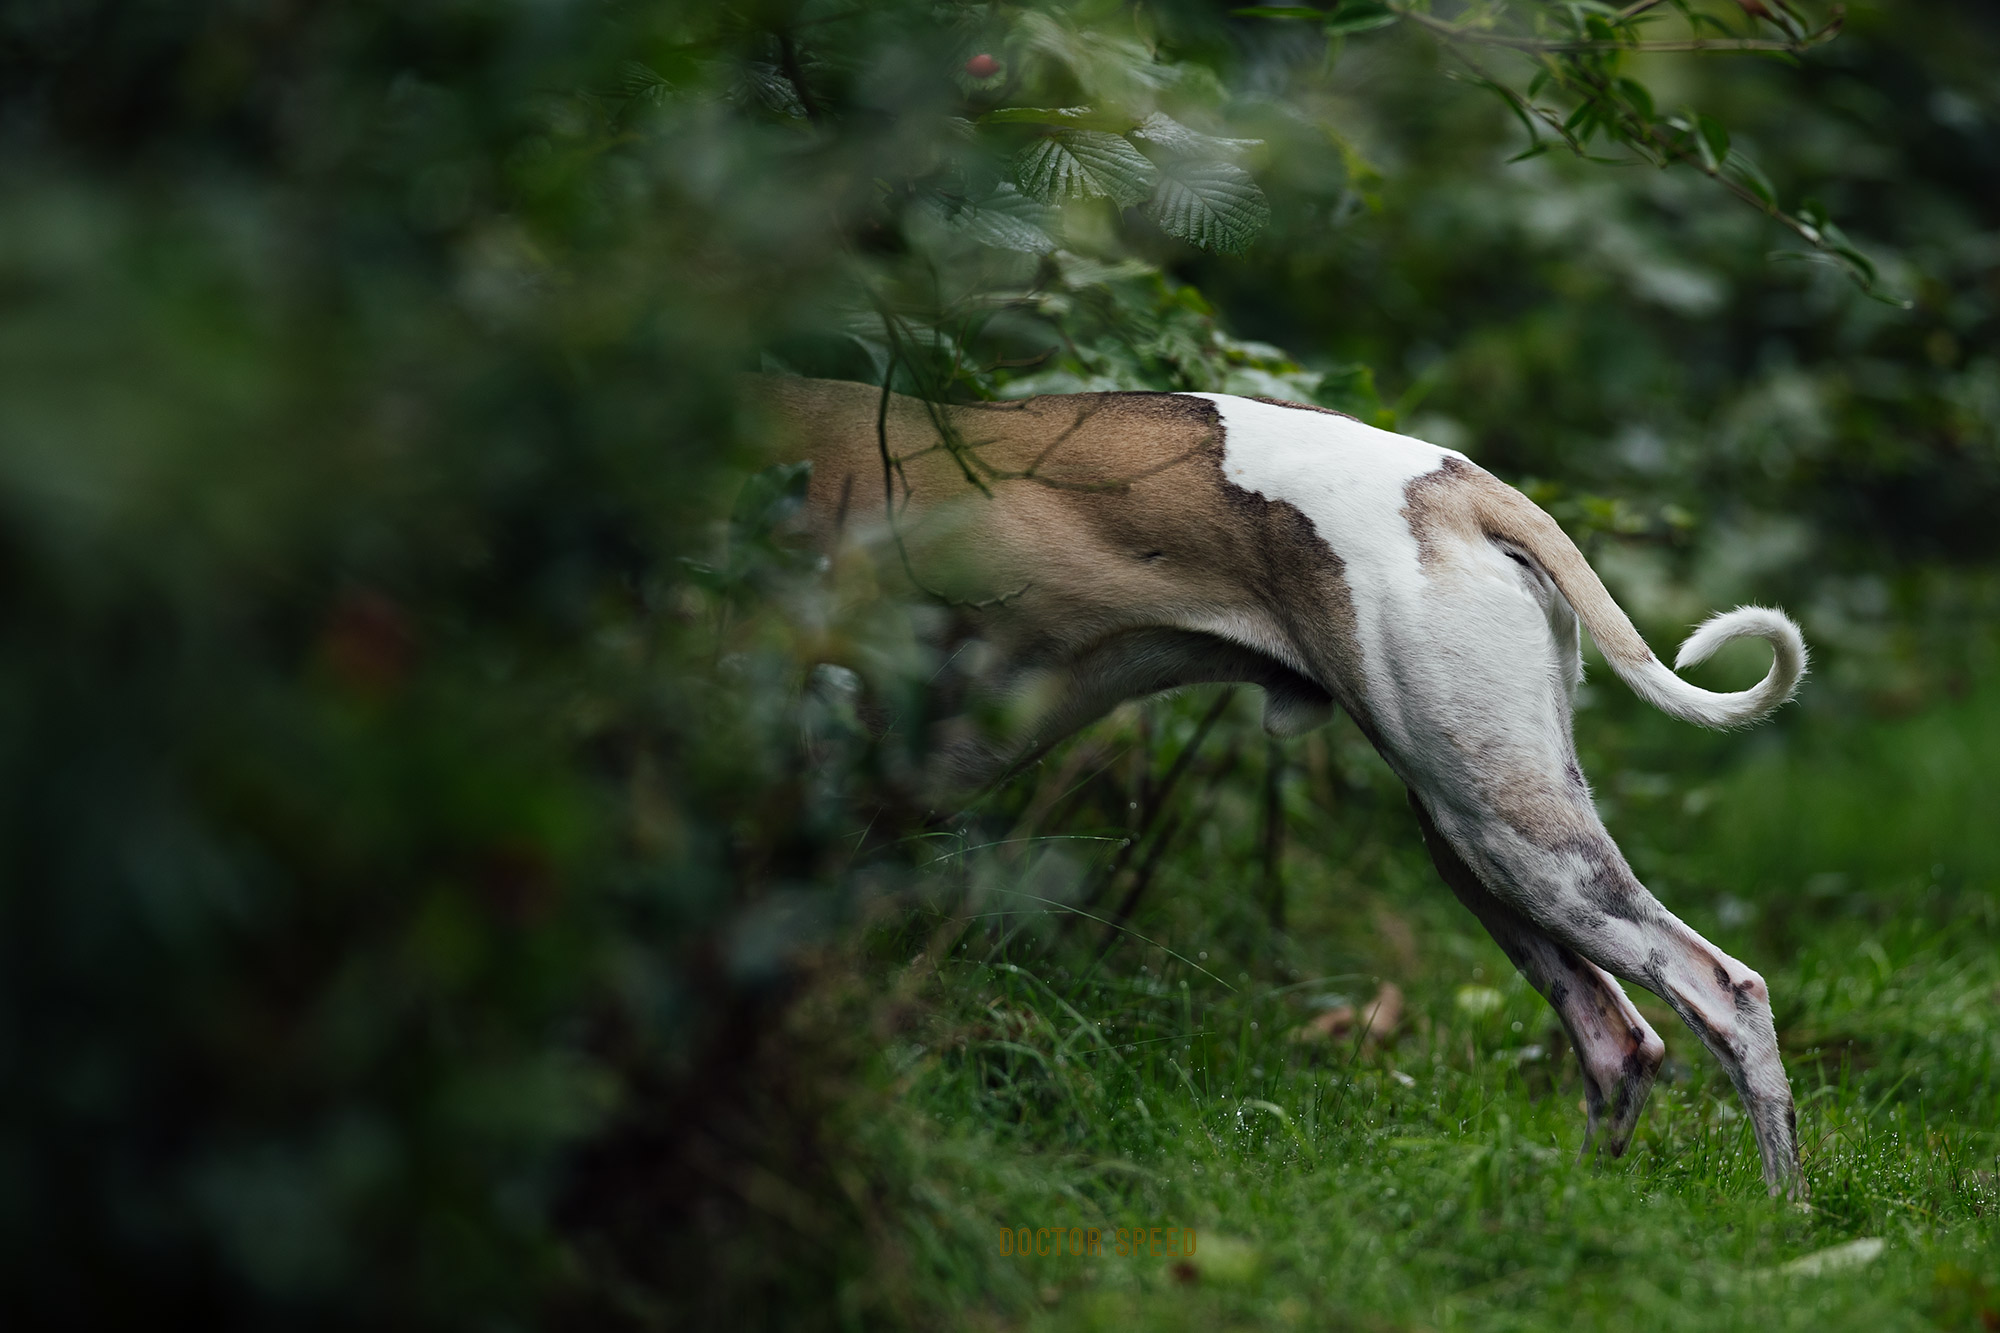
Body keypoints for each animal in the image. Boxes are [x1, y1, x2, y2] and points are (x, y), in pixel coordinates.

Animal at [760, 374, 1816, 1192]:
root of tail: (1461, 483)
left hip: (1519, 840)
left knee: (1726, 993)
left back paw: (1784, 1220)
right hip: (1472, 843)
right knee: (1619, 1041)